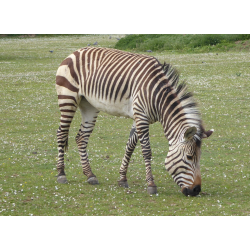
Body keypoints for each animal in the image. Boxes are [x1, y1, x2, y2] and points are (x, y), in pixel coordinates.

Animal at [55, 46, 213, 195]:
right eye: (189, 157)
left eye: (199, 157)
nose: (196, 190)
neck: (157, 96)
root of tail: (75, 52)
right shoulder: (141, 117)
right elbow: (146, 151)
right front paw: (151, 184)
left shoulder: (140, 117)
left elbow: (130, 147)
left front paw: (122, 179)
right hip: (68, 98)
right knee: (61, 134)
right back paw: (61, 174)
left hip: (89, 104)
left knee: (81, 138)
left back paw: (90, 175)